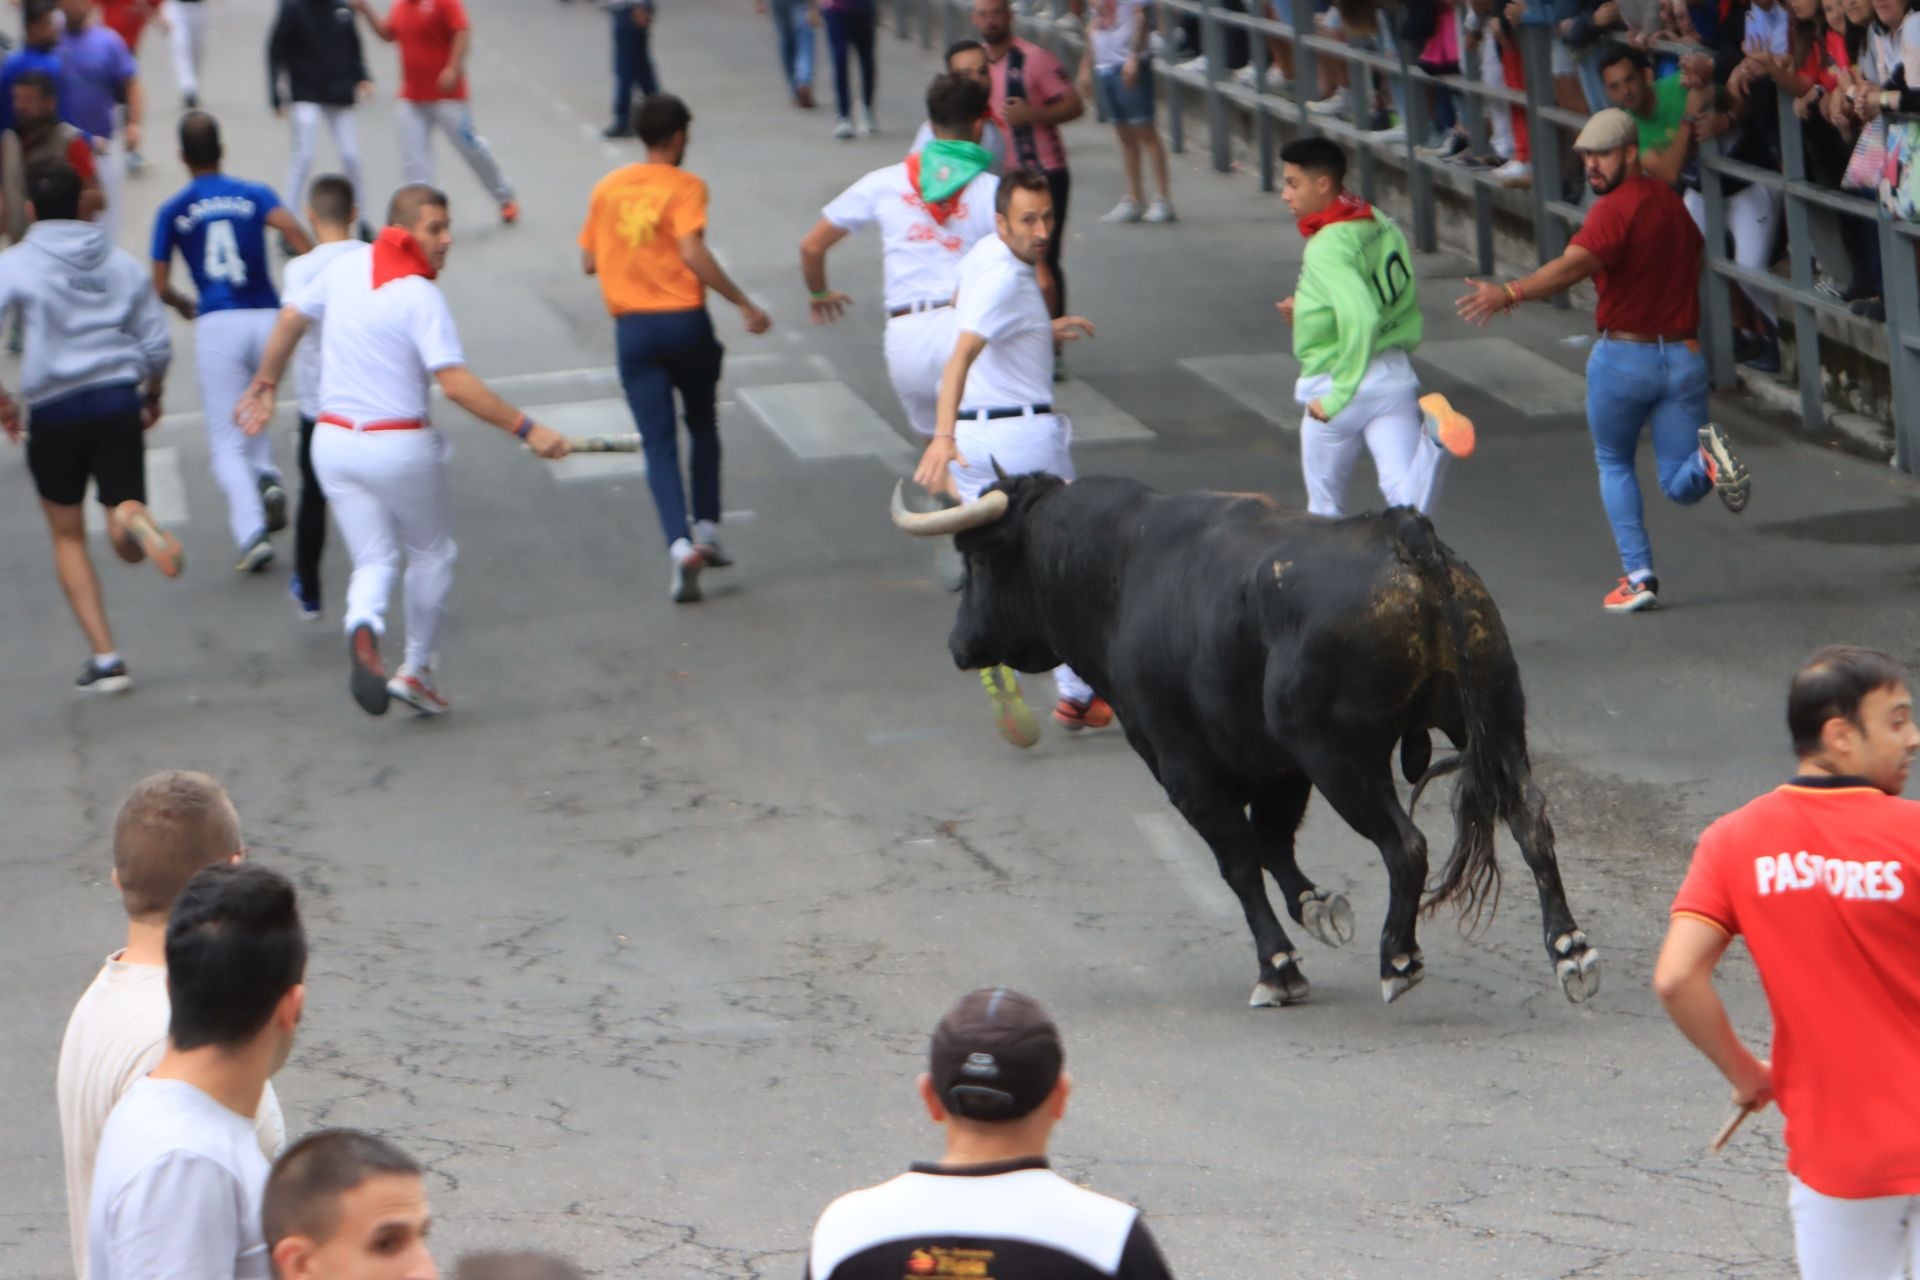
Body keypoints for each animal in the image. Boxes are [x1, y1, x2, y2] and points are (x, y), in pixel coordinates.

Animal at [890, 474, 1597, 1013]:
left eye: (979, 560)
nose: (959, 643)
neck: (1120, 568)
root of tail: (1405, 535)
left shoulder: (1183, 767)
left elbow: (1237, 859)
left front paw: (1279, 967)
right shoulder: (1280, 765)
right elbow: (1272, 840)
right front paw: (1318, 907)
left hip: (1342, 758)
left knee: (1406, 846)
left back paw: (1398, 959)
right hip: (1498, 720)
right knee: (1531, 820)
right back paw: (1570, 950)